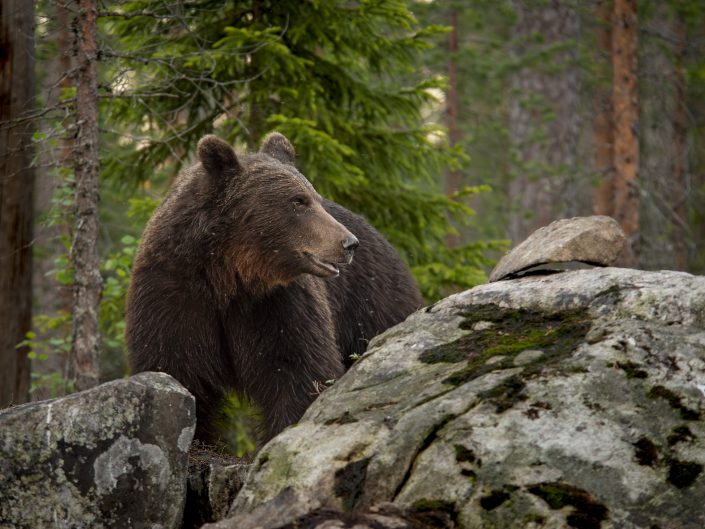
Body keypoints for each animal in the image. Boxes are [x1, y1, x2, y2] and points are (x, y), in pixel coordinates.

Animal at [126, 132, 423, 444]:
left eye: (315, 198)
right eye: (298, 201)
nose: (349, 243)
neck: (230, 273)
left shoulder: (278, 303)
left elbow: (296, 368)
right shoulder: (175, 292)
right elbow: (177, 365)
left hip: (372, 301)